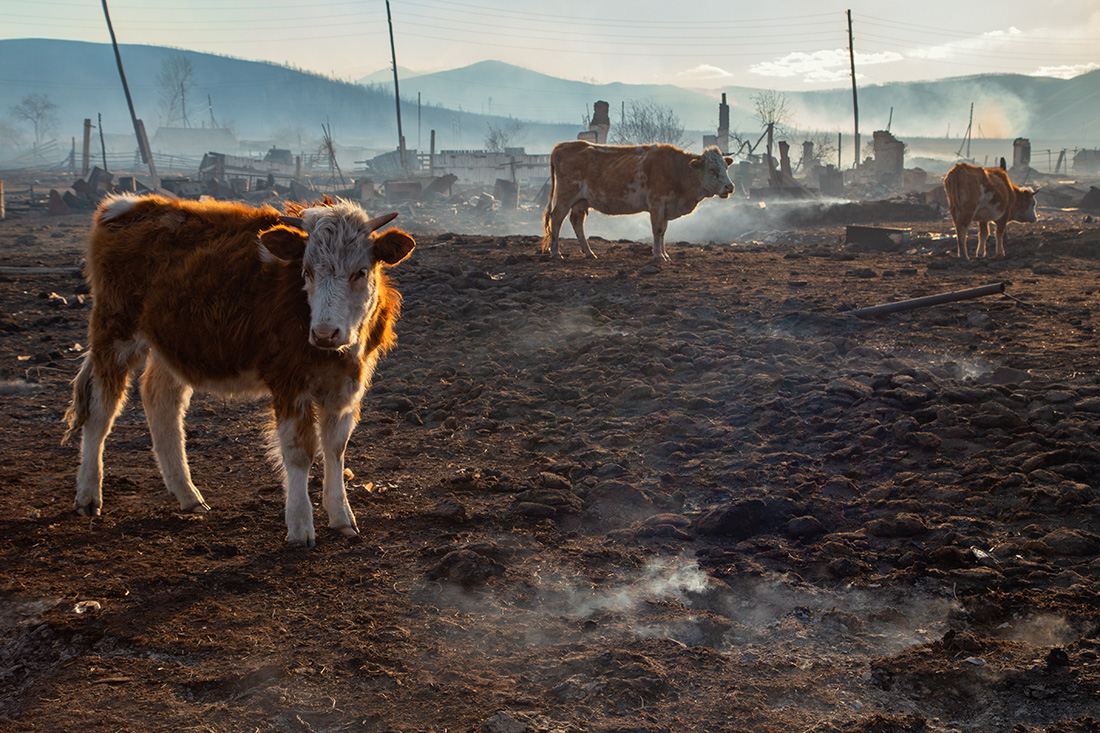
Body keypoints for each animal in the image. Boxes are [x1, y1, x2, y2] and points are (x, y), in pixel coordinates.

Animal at [64, 192, 415, 541]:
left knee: (161, 400)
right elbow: (299, 451)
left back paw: (188, 495)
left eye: (360, 272)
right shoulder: (290, 381)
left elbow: (335, 448)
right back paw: (88, 495)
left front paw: (342, 516)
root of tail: (125, 206)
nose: (325, 333)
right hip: (115, 332)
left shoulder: (347, 382)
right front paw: (300, 525)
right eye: (307, 271)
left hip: (172, 344)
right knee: (100, 410)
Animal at [539, 138, 730, 260]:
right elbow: (657, 230)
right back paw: (556, 253)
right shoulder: (657, 203)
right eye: (712, 169)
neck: (677, 170)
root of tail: (561, 146)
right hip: (565, 196)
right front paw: (658, 255)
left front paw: (665, 254)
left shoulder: (665, 207)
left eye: (726, 167)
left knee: (576, 222)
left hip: (580, 201)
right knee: (556, 219)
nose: (730, 187)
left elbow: (663, 231)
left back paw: (589, 252)